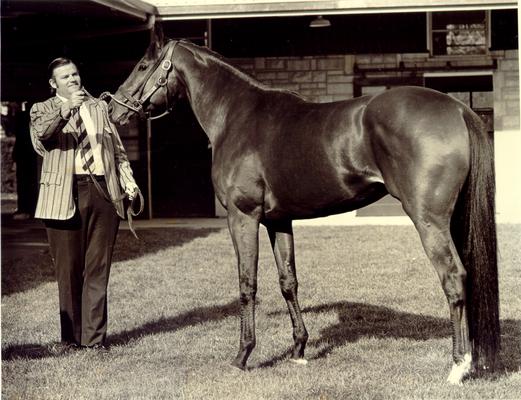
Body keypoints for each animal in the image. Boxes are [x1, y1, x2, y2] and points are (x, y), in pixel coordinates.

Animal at [106, 25, 500, 384]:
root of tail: (458, 109)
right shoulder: (279, 221)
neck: (236, 115)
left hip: (429, 220)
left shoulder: (242, 217)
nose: (113, 109)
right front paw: (298, 349)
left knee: (453, 278)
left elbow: (247, 283)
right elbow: (288, 281)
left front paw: (242, 355)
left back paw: (458, 366)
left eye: (142, 66)